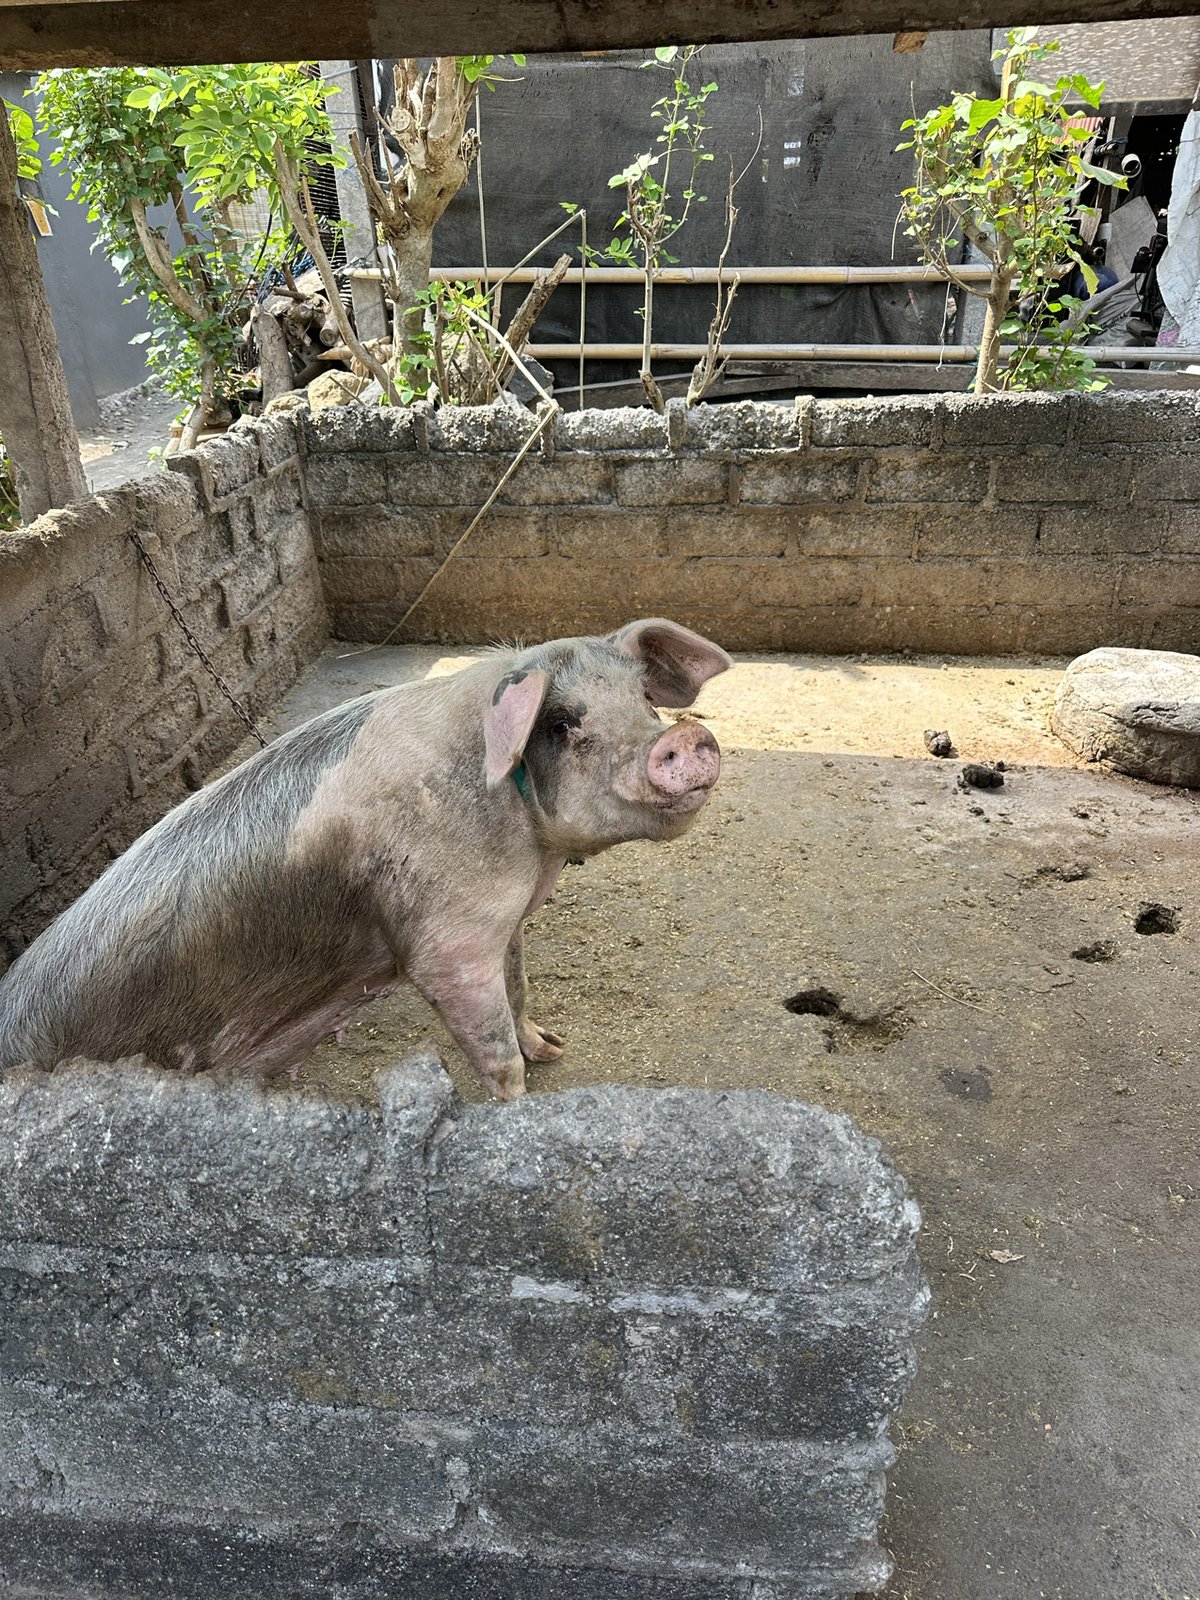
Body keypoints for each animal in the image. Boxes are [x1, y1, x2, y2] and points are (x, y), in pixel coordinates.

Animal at [0, 618, 730, 1100]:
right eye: (561, 723)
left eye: (643, 700)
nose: (685, 739)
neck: (531, 855)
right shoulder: (448, 942)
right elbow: (494, 1052)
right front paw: (519, 1107)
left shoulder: (504, 921)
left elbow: (519, 988)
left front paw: (553, 1049)